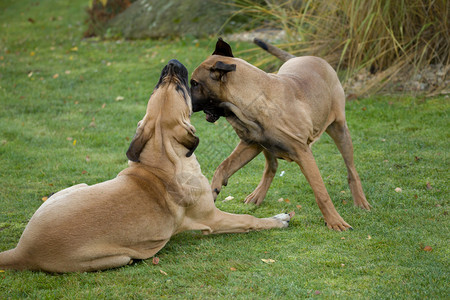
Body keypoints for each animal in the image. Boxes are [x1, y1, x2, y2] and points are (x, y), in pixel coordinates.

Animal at [0, 59, 292, 274]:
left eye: (160, 87)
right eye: (180, 90)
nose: (172, 64)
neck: (163, 157)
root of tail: (21, 251)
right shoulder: (212, 218)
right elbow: (249, 220)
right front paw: (278, 220)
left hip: (74, 187)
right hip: (115, 257)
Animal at [190, 38, 370, 231]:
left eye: (194, 83)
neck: (254, 99)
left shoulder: (303, 154)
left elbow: (321, 193)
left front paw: (335, 221)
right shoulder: (250, 144)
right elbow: (222, 167)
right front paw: (212, 192)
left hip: (340, 130)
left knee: (351, 170)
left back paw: (360, 201)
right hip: (266, 145)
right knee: (272, 166)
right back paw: (258, 195)